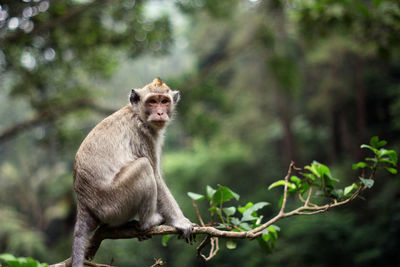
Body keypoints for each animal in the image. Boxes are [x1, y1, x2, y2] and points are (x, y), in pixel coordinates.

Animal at [71, 78, 195, 267]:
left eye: (164, 101)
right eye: (153, 101)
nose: (160, 112)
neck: (137, 114)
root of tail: (84, 205)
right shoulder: (143, 135)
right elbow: (156, 176)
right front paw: (180, 222)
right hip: (114, 205)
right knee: (144, 166)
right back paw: (148, 222)